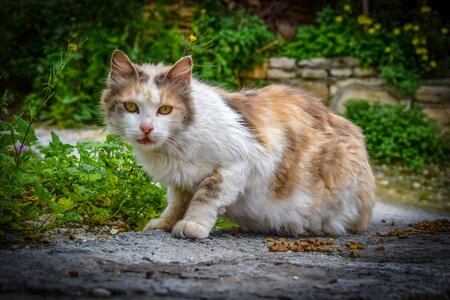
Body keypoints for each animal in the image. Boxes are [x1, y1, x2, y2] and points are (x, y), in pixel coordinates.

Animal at [102, 51, 376, 239]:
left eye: (165, 110)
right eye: (131, 107)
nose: (146, 128)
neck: (173, 147)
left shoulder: (238, 164)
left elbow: (205, 196)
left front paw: (193, 225)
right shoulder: (180, 182)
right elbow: (176, 204)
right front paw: (163, 224)